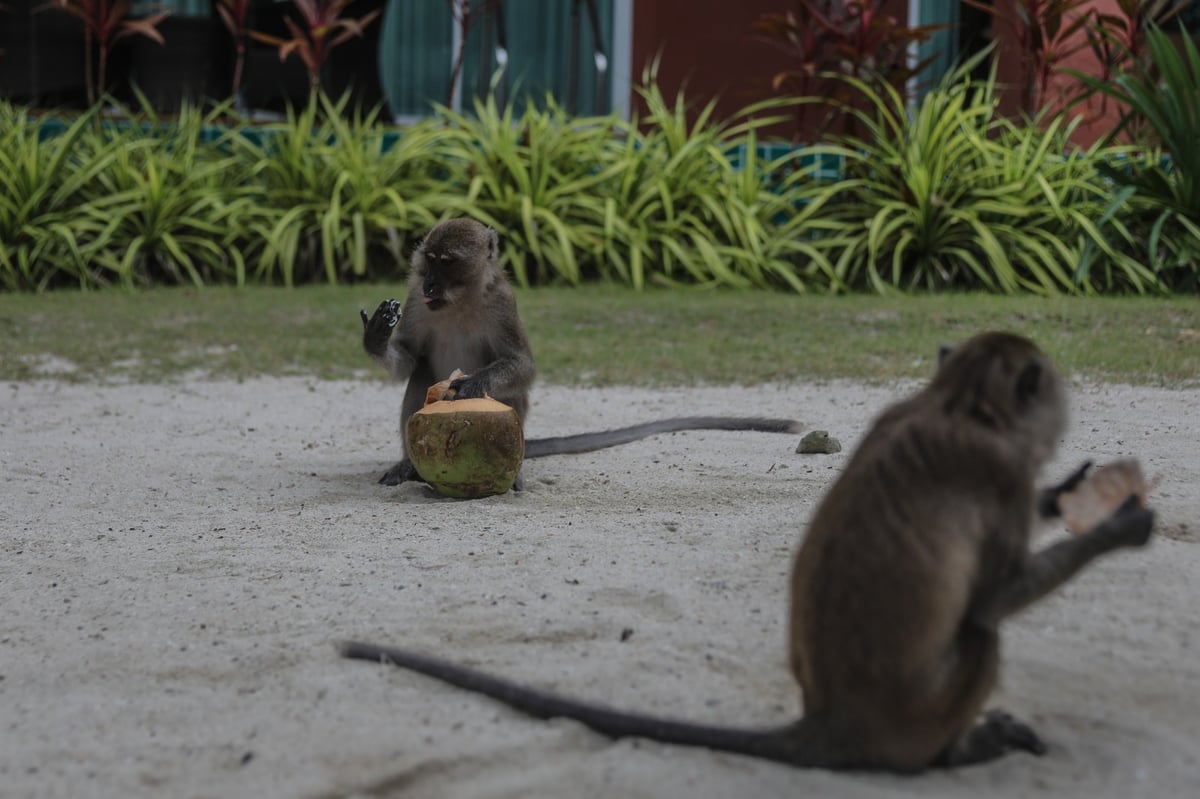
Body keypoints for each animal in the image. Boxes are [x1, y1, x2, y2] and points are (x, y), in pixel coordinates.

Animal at [343, 328, 1156, 767]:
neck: (962, 406)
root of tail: (827, 723)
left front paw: (1072, 493)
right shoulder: (997, 474)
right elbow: (992, 598)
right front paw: (1116, 525)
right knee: (982, 634)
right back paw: (962, 750)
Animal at [360, 218, 801, 489]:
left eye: (448, 263)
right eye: (429, 261)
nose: (430, 284)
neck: (458, 302)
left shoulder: (502, 304)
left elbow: (522, 366)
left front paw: (476, 383)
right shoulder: (415, 301)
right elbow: (408, 358)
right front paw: (377, 337)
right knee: (421, 374)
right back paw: (409, 464)